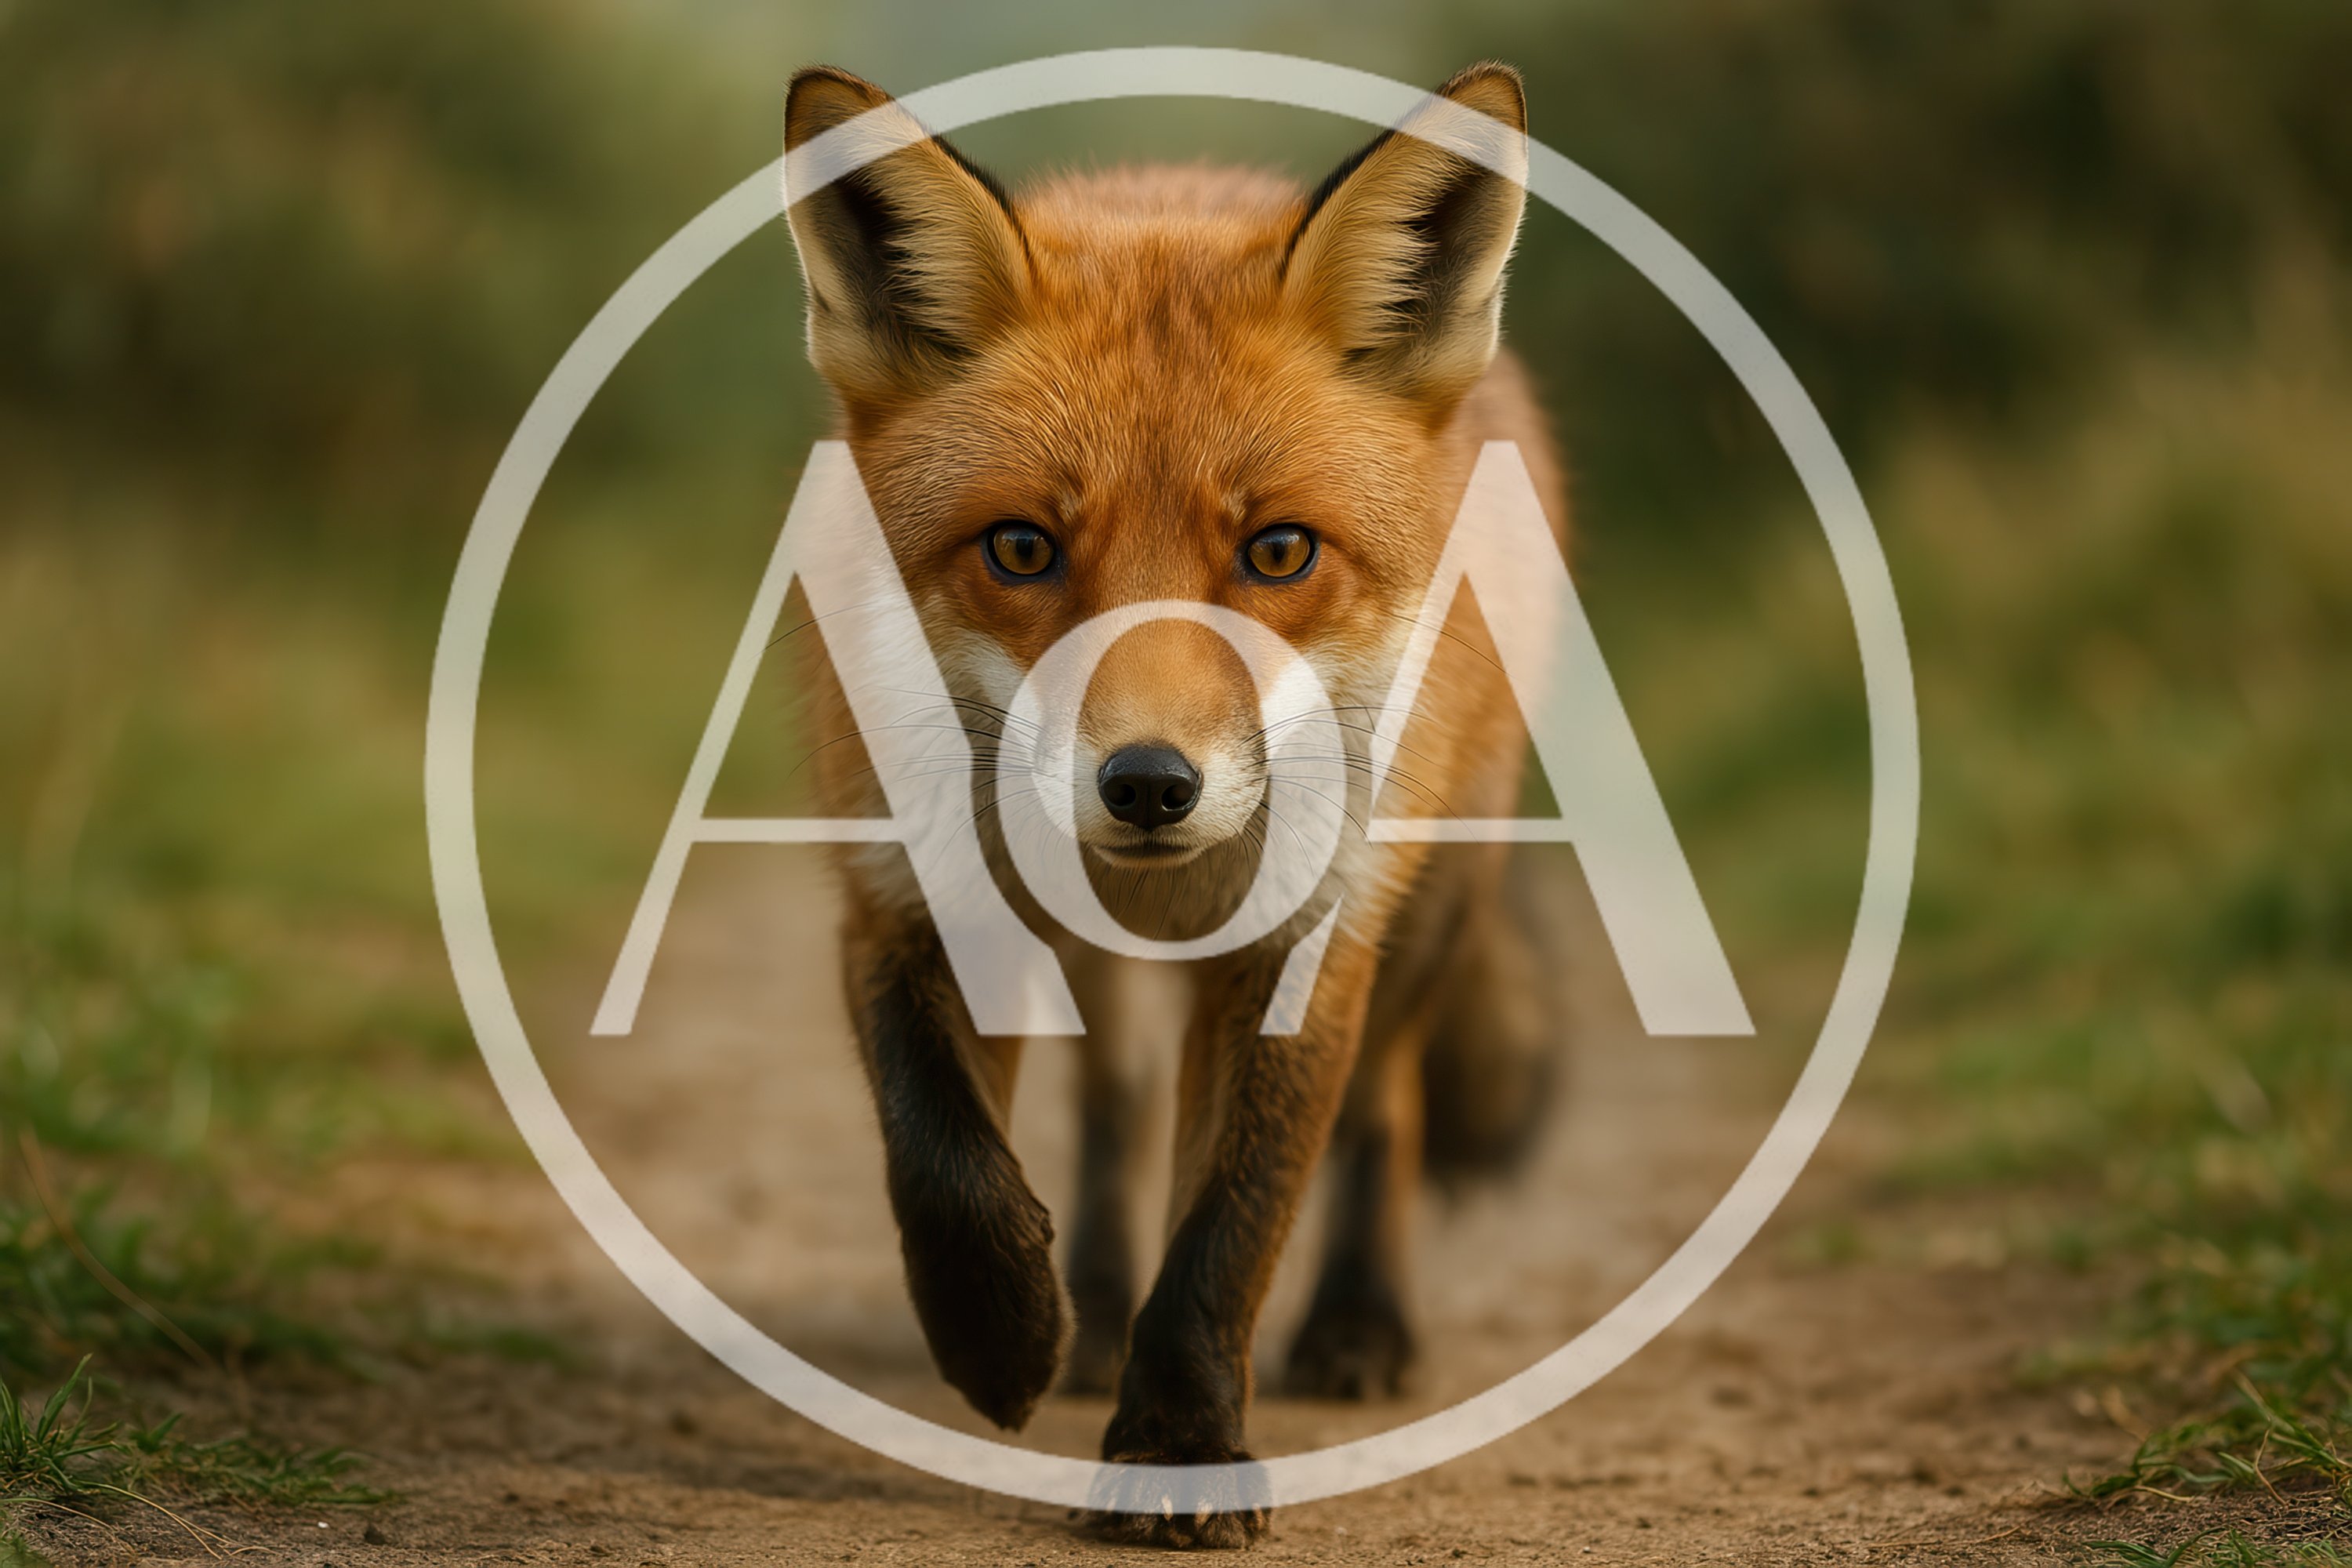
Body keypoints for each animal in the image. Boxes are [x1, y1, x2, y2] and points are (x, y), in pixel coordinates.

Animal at [782, 60, 1565, 1547]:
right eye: (1022, 547)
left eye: (1279, 552)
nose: (1147, 785)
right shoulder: (895, 891)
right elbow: (943, 1155)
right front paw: (1004, 1338)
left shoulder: (1304, 938)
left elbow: (1232, 1223)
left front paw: (1179, 1451)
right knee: (1117, 1110)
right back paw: (1087, 1309)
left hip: (1431, 906)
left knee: (1383, 1113)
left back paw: (1359, 1327)